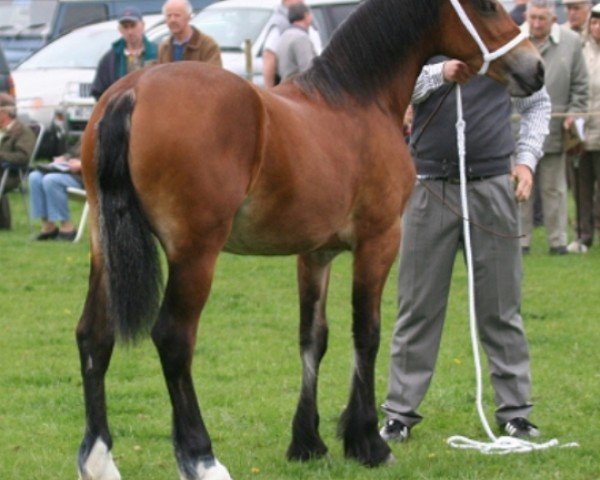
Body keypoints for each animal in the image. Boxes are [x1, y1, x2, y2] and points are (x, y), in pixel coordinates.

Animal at [75, 0, 544, 480]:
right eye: (486, 6)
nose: (536, 68)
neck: (357, 100)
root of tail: (134, 90)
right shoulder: (379, 241)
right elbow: (367, 333)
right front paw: (368, 441)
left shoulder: (316, 253)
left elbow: (313, 338)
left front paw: (308, 442)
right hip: (195, 254)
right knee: (173, 338)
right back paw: (201, 458)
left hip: (104, 248)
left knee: (94, 336)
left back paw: (98, 459)